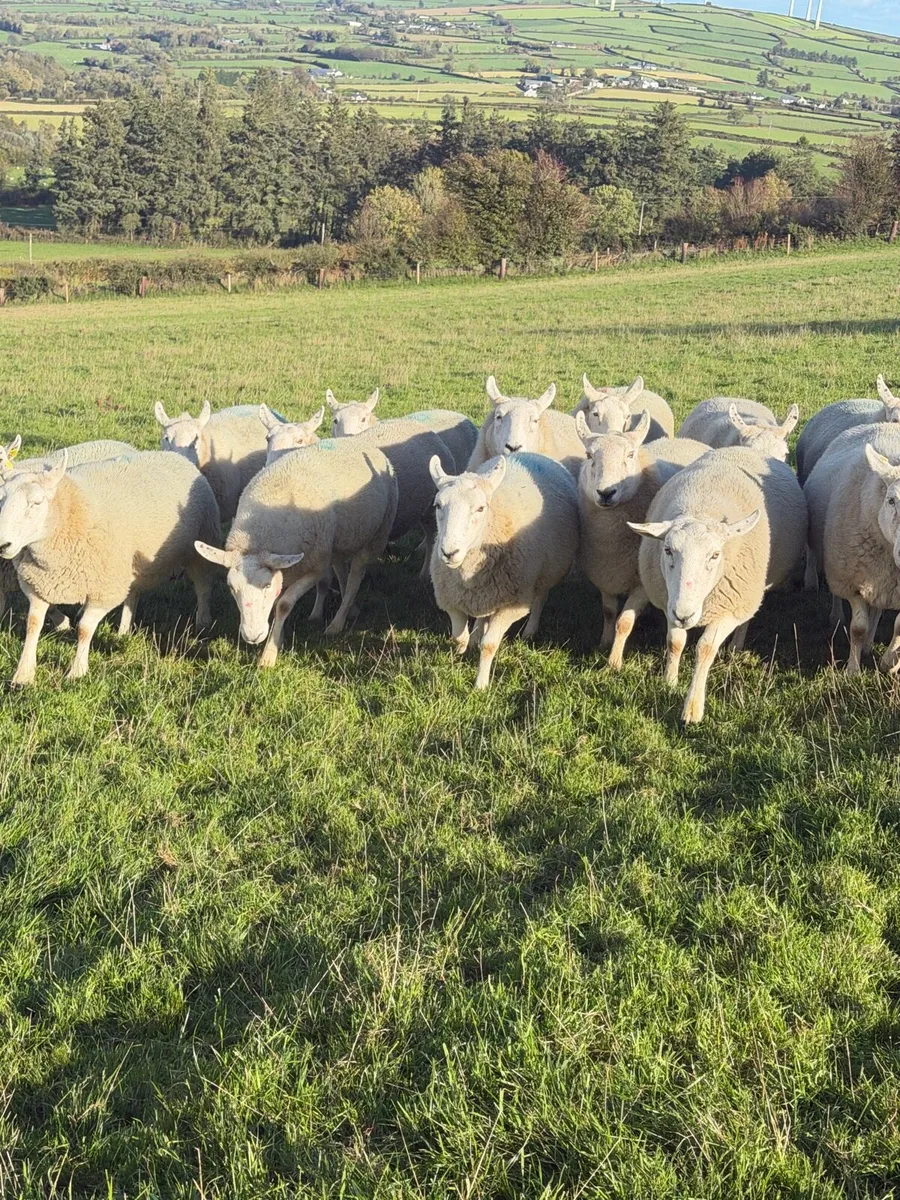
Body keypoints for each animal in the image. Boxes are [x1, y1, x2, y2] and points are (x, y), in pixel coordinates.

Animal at [195, 438, 398, 666]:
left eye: (266, 586)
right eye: (231, 587)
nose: (252, 636)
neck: (257, 539)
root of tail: (361, 442)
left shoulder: (315, 568)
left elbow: (283, 604)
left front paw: (269, 654)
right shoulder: (287, 567)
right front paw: (278, 639)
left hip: (375, 535)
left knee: (355, 579)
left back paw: (336, 623)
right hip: (337, 541)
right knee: (342, 572)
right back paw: (346, 611)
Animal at [429, 452, 579, 689]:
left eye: (481, 508)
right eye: (438, 505)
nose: (449, 552)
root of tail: (531, 454)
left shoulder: (511, 605)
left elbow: (489, 645)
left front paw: (481, 685)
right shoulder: (450, 599)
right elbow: (458, 637)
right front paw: (459, 655)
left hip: (544, 573)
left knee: (540, 598)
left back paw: (529, 631)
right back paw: (476, 634)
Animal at [574, 411, 709, 667]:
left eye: (630, 454)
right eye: (589, 455)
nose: (606, 493)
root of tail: (689, 441)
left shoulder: (643, 584)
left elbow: (624, 622)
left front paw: (614, 662)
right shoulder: (605, 574)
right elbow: (608, 612)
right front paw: (604, 643)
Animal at [629, 447, 807, 723]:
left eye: (715, 555)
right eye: (667, 550)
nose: (685, 614)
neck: (701, 509)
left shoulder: (728, 608)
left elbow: (706, 648)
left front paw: (692, 708)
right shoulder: (669, 600)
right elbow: (675, 642)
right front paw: (669, 681)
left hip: (750, 593)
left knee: (747, 617)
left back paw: (735, 646)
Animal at [803, 423, 900, 674]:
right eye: (891, 500)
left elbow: (897, 626)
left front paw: (890, 664)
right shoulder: (850, 582)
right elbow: (858, 627)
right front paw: (852, 670)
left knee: (877, 609)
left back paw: (869, 645)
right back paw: (837, 617)